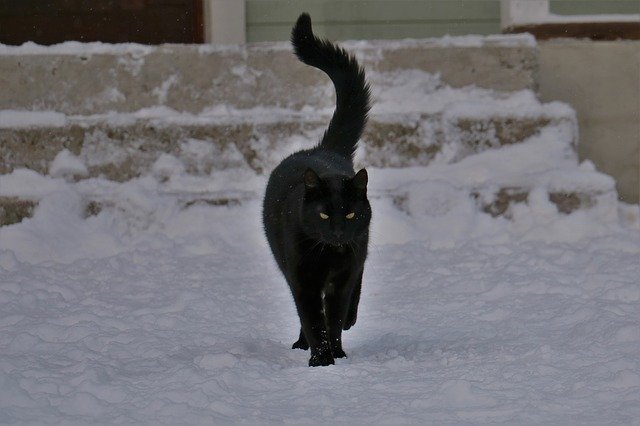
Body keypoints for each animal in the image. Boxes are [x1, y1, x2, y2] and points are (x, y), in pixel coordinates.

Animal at [262, 13, 372, 366]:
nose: (337, 232)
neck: (329, 256)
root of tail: (323, 149)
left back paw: (350, 320)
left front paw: (336, 354)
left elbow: (332, 318)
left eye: (349, 214)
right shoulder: (303, 278)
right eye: (323, 214)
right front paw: (321, 360)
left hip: (359, 250)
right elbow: (313, 319)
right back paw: (302, 343)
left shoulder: (342, 277)